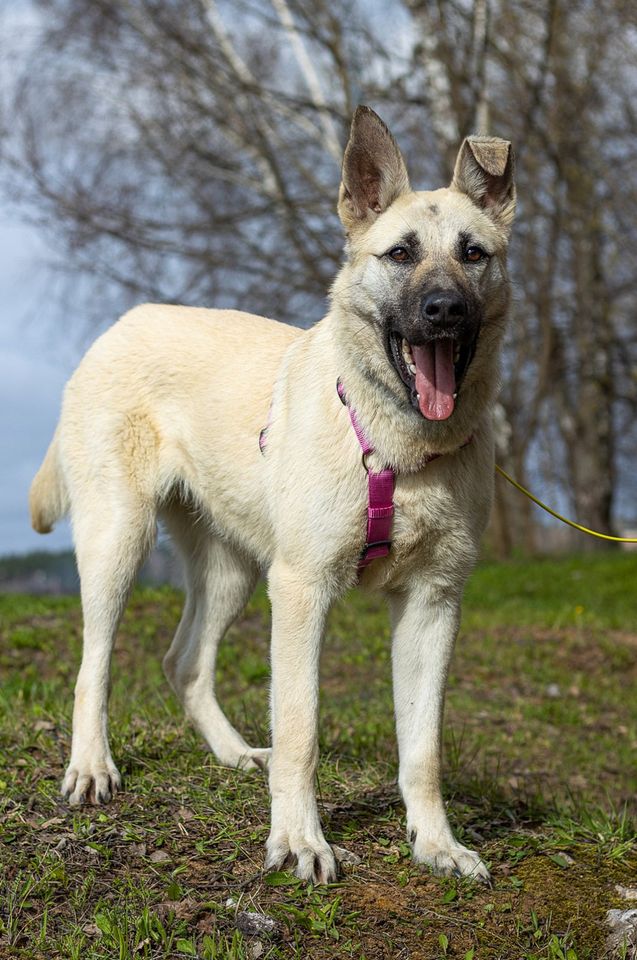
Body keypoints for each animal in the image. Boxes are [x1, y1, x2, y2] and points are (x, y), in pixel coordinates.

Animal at [31, 107, 516, 884]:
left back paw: (232, 754)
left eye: (473, 253)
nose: (442, 310)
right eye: (400, 254)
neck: (399, 448)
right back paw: (91, 768)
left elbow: (423, 749)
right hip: (117, 541)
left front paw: (437, 845)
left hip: (231, 569)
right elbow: (299, 730)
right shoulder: (300, 590)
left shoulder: (433, 603)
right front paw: (299, 841)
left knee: (184, 662)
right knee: (93, 666)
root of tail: (117, 326)